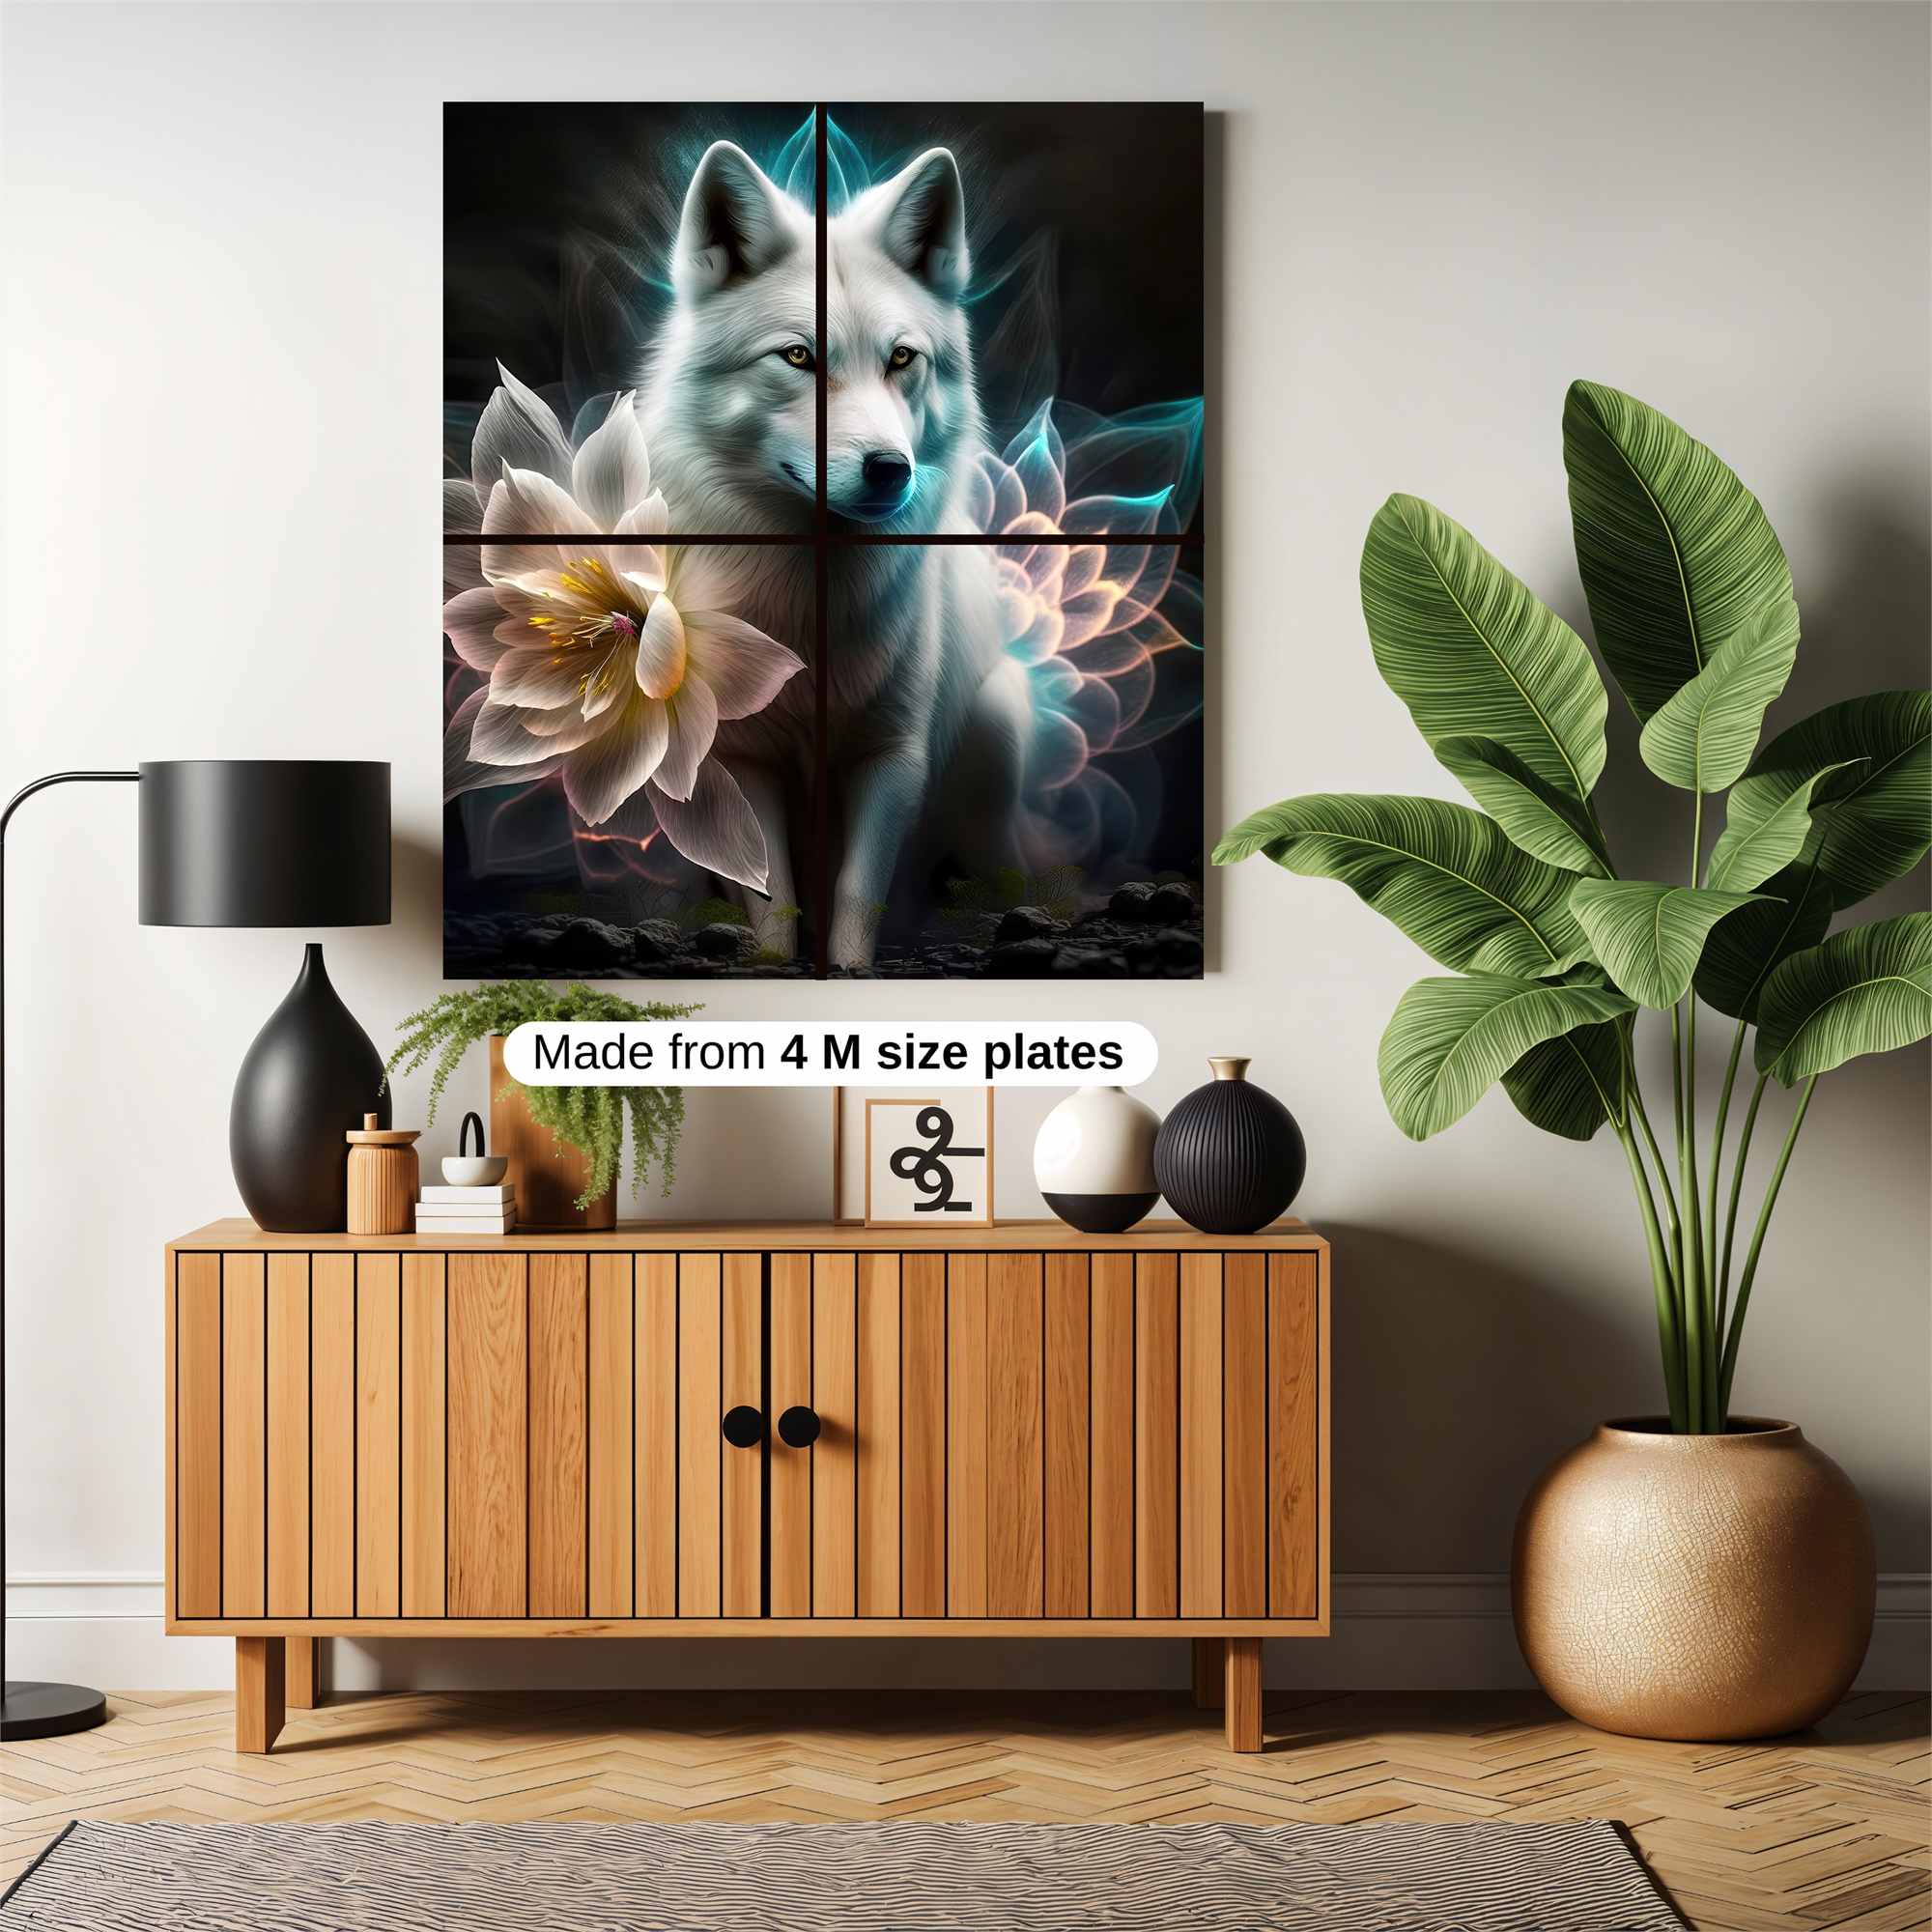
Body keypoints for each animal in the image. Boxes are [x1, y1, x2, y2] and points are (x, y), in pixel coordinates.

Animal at [636, 140, 1030, 968]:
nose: (890, 469)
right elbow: (772, 900)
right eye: (797, 356)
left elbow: (857, 896)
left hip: (997, 724)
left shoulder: (891, 756)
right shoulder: (743, 760)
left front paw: (847, 969)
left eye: (902, 359)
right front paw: (773, 965)